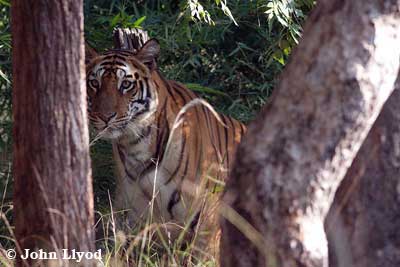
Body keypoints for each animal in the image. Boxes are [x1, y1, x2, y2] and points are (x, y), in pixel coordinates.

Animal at [86, 36, 245, 250]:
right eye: (94, 83)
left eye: (126, 84)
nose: (105, 116)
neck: (136, 145)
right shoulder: (133, 216)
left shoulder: (207, 219)